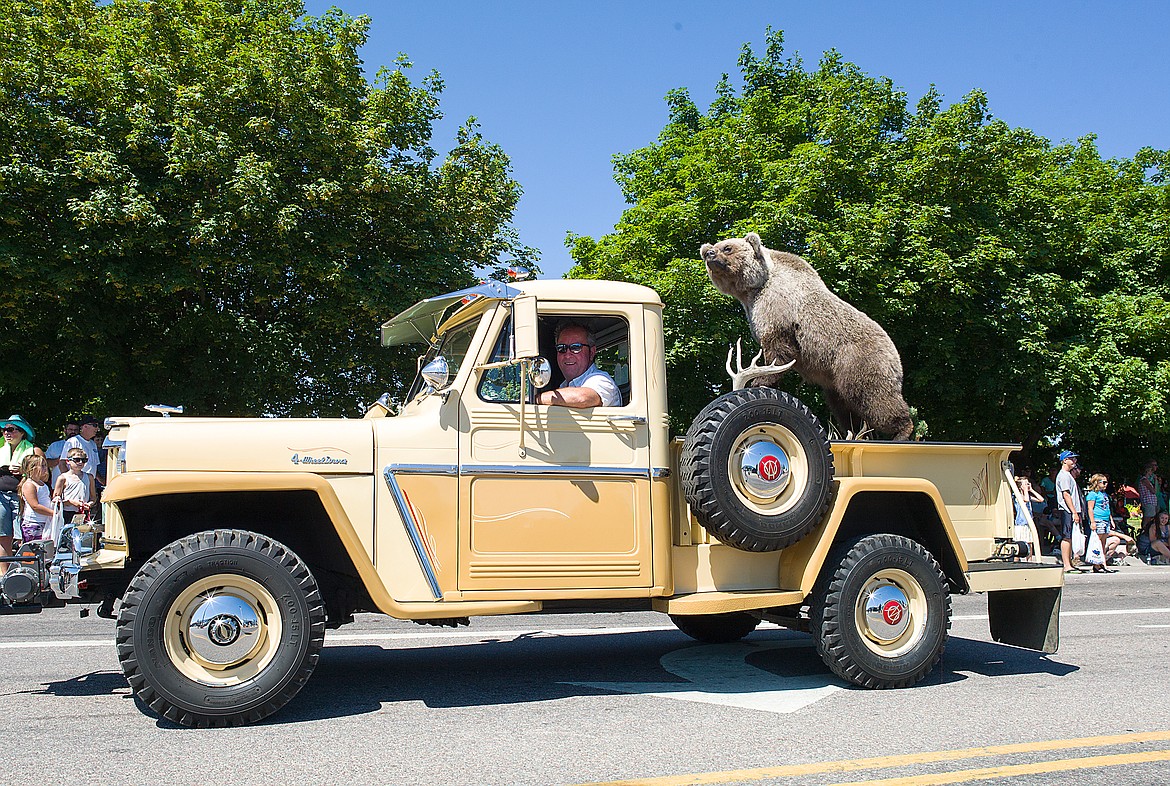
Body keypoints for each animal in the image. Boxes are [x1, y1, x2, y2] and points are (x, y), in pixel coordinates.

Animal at [692, 233, 912, 442]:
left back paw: (901, 431)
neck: (752, 290)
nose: (709, 253)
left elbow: (779, 350)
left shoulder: (777, 307)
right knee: (843, 407)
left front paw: (759, 380)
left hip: (858, 360)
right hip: (835, 380)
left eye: (727, 247)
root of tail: (896, 354)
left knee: (874, 396)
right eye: (712, 248)